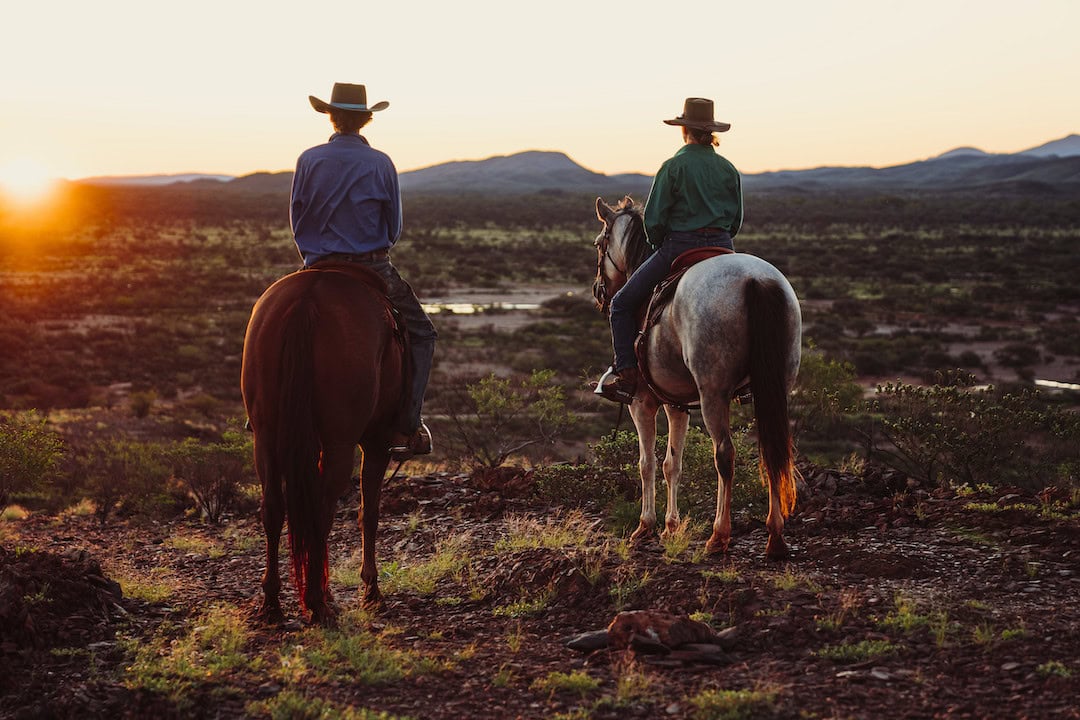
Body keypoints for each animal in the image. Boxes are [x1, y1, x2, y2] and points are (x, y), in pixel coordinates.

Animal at [240, 262, 406, 621]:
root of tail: (307, 300)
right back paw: (316, 602)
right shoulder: (377, 442)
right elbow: (369, 513)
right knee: (322, 508)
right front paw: (371, 591)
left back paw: (273, 601)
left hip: (266, 437)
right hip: (340, 442)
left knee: (273, 507)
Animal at [596, 198, 799, 561]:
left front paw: (645, 527)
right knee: (774, 451)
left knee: (725, 454)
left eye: (598, 244)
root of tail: (755, 280)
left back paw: (719, 536)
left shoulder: (642, 402)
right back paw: (775, 538)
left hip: (713, 393)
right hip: (777, 387)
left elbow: (647, 463)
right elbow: (671, 464)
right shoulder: (676, 405)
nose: (598, 291)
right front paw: (670, 527)